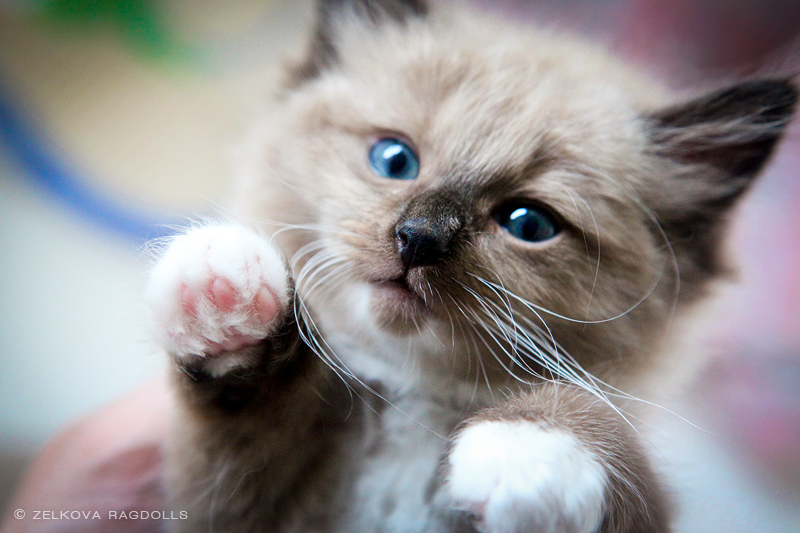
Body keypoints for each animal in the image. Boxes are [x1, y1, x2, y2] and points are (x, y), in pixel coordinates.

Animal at [147, 1, 796, 532]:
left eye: (528, 224)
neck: (417, 405)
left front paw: (528, 450)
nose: (418, 239)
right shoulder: (245, 510)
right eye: (394, 159)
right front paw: (225, 291)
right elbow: (249, 412)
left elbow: (604, 431)